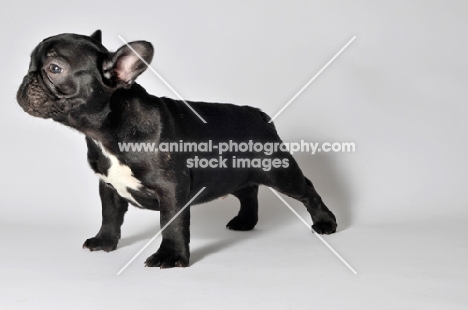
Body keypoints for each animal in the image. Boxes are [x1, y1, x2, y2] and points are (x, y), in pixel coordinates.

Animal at [16, 30, 334, 268]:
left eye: (54, 69)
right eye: (31, 62)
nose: (27, 77)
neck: (106, 132)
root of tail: (258, 114)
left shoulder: (171, 189)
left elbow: (172, 224)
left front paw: (170, 256)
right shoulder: (108, 186)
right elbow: (110, 216)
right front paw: (105, 241)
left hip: (279, 171)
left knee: (307, 189)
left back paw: (325, 222)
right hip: (236, 174)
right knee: (248, 191)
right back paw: (245, 222)